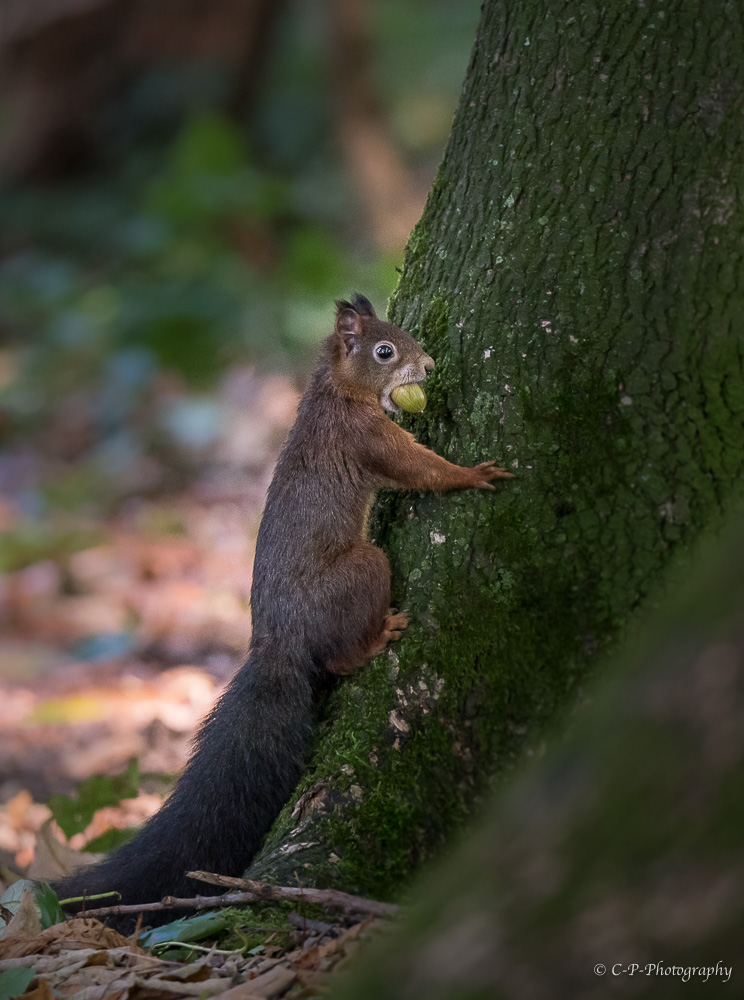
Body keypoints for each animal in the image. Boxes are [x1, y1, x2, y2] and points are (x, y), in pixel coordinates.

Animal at [53, 294, 512, 920]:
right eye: (384, 351)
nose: (430, 366)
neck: (334, 392)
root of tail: (277, 640)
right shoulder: (364, 436)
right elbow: (419, 468)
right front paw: (472, 474)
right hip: (364, 570)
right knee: (341, 655)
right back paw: (380, 635)